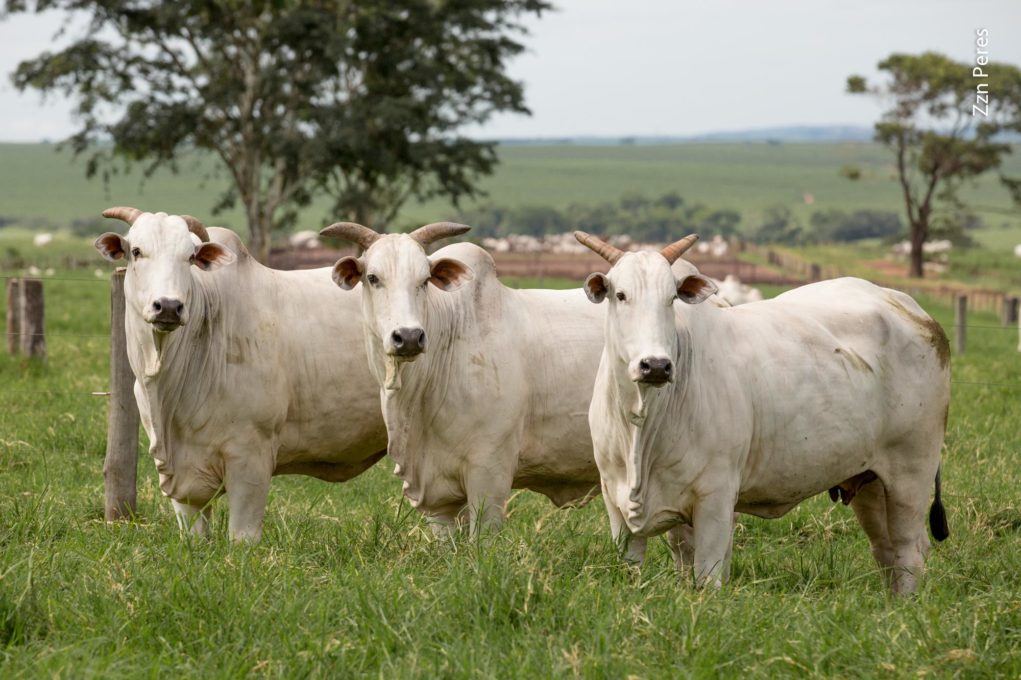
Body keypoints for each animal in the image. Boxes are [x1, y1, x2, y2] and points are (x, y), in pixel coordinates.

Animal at [95, 207, 388, 542]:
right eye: (136, 251)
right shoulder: (181, 476)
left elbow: (242, 536)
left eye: (190, 256)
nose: (168, 306)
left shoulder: (251, 458)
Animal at [574, 230, 950, 594]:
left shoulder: (716, 497)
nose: (655, 365)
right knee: (885, 550)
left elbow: (707, 578)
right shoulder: (617, 503)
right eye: (620, 295)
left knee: (909, 550)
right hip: (871, 480)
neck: (642, 424)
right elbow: (642, 568)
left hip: (911, 471)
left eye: (671, 299)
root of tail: (915, 310)